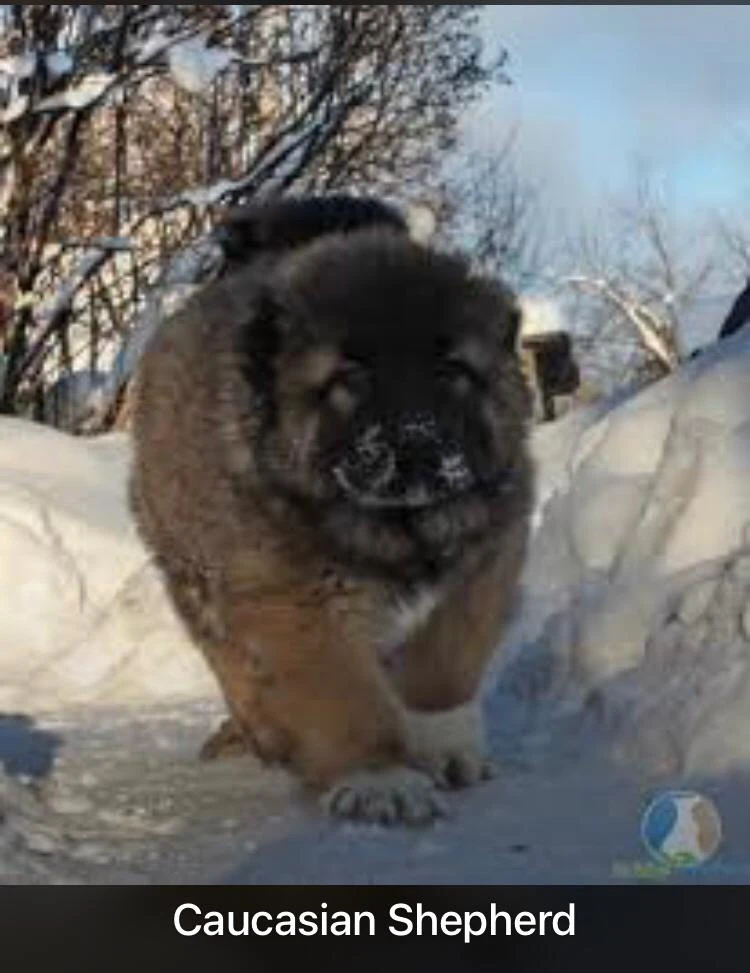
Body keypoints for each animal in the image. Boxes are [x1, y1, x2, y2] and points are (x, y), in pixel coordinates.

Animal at [129, 194, 536, 824]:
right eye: (349, 378)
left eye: (452, 371)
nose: (415, 444)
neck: (396, 528)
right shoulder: (292, 598)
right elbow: (342, 692)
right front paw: (378, 776)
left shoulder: (491, 549)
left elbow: (448, 655)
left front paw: (440, 739)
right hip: (189, 567)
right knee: (232, 662)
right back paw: (267, 733)